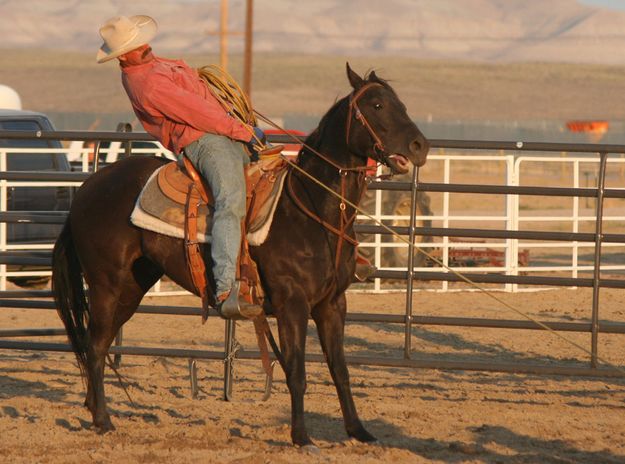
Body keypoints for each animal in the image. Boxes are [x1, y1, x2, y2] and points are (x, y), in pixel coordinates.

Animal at [52, 63, 428, 448]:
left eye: (399, 102)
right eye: (377, 105)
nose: (420, 146)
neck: (310, 209)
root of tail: (88, 187)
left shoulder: (332, 304)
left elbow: (340, 370)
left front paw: (359, 431)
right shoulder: (292, 303)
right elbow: (296, 372)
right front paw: (301, 437)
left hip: (132, 286)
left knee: (98, 344)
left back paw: (94, 410)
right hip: (105, 285)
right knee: (95, 345)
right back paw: (103, 420)